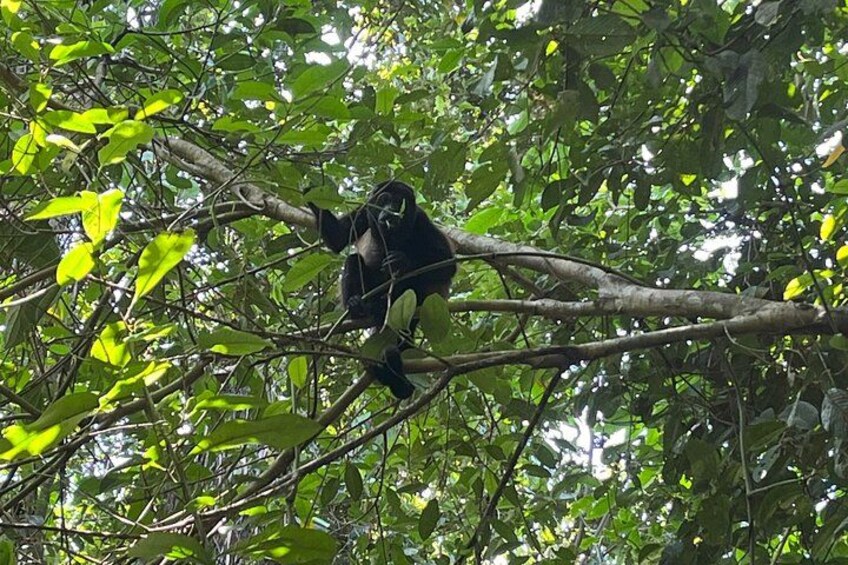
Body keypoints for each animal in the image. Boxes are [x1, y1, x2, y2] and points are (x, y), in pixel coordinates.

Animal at [309, 180, 456, 398]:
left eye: (398, 202)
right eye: (383, 200)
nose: (389, 212)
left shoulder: (421, 219)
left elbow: (447, 264)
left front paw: (402, 262)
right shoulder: (365, 211)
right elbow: (338, 238)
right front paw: (307, 191)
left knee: (414, 284)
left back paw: (382, 305)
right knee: (353, 260)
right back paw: (358, 306)